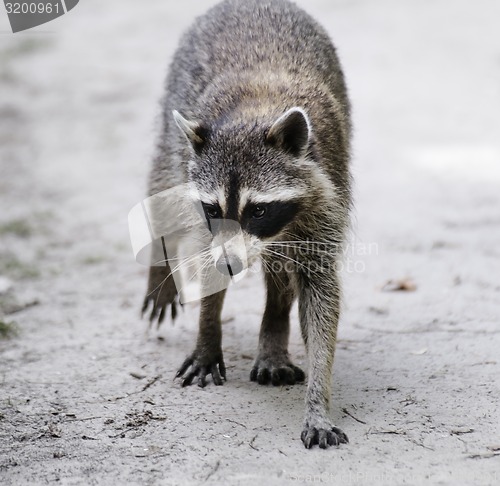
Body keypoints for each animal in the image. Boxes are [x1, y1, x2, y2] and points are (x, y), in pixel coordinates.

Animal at [141, 0, 352, 452]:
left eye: (258, 211)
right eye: (213, 207)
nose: (232, 264)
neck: (258, 110)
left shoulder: (326, 199)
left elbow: (320, 297)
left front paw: (318, 399)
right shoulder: (205, 221)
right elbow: (206, 263)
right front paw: (207, 333)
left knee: (281, 274)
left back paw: (274, 328)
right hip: (173, 126)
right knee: (160, 183)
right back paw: (159, 263)